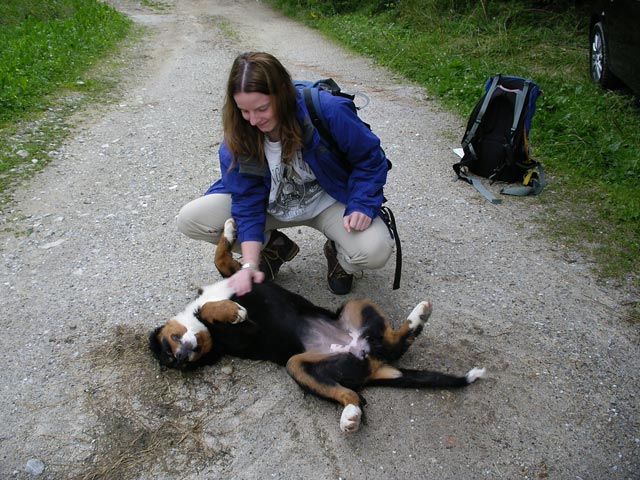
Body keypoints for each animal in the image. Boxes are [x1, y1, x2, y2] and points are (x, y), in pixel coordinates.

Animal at [150, 219, 482, 434]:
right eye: (175, 360)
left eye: (169, 346)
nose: (182, 356)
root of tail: (370, 359)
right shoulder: (249, 329)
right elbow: (213, 310)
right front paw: (230, 311)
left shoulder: (241, 275)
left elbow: (220, 257)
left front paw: (230, 228)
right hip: (301, 365)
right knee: (362, 389)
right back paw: (351, 416)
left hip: (355, 304)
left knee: (393, 342)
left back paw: (418, 315)